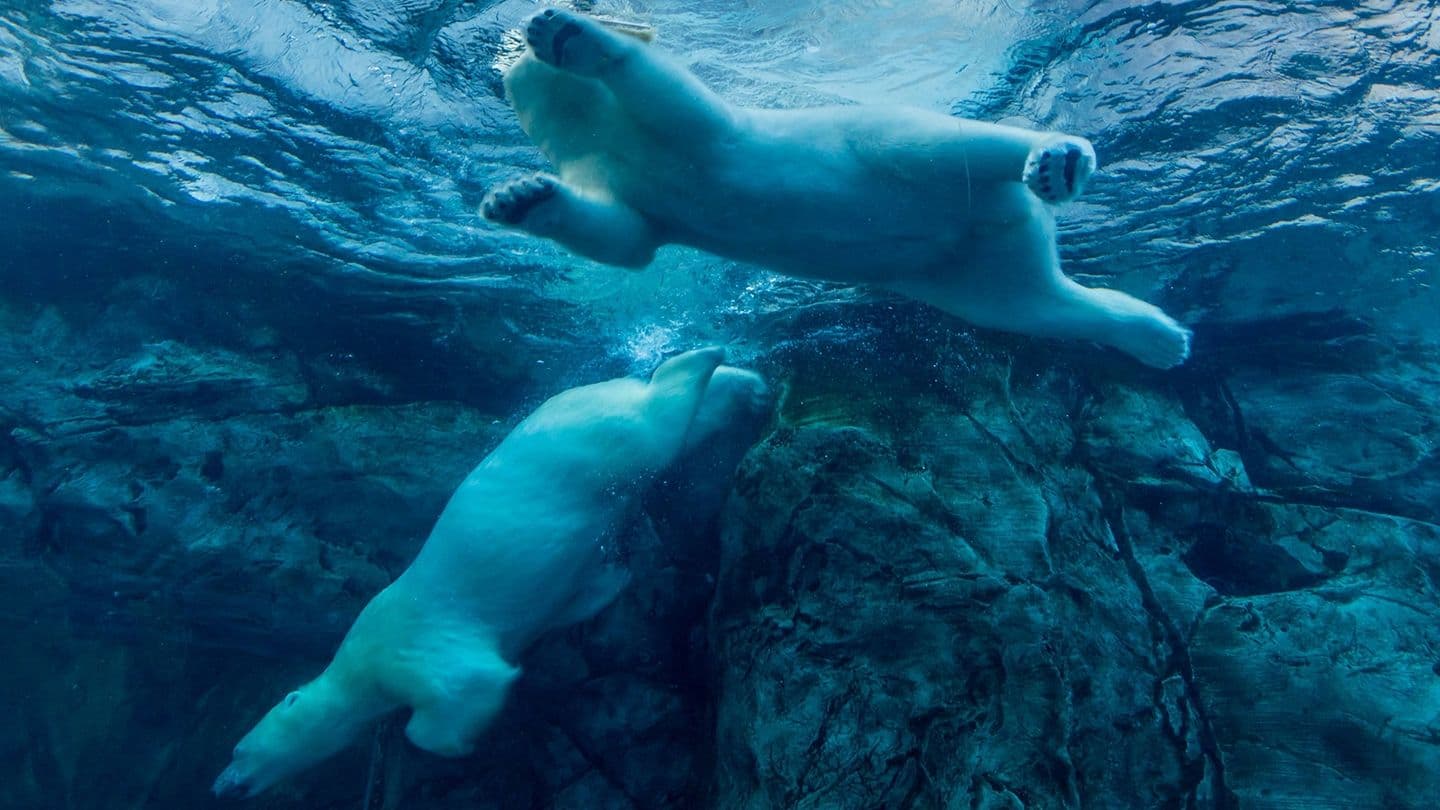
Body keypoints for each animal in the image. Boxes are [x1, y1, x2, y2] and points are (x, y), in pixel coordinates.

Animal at [211, 348, 766, 795]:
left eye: (238, 751)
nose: (222, 786)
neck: (355, 665)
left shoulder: (408, 646)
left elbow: (466, 685)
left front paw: (457, 743)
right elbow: (576, 595)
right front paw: (612, 577)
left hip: (601, 442)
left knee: (660, 419)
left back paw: (703, 359)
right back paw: (745, 387)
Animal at [483, 5, 1192, 366]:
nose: (511, 48)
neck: (609, 139)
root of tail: (1011, 218)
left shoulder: (702, 134)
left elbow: (674, 102)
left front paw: (570, 36)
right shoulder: (625, 185)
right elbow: (626, 238)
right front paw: (517, 197)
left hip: (880, 142)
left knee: (935, 143)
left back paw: (1058, 157)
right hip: (967, 273)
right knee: (1035, 305)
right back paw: (1159, 338)